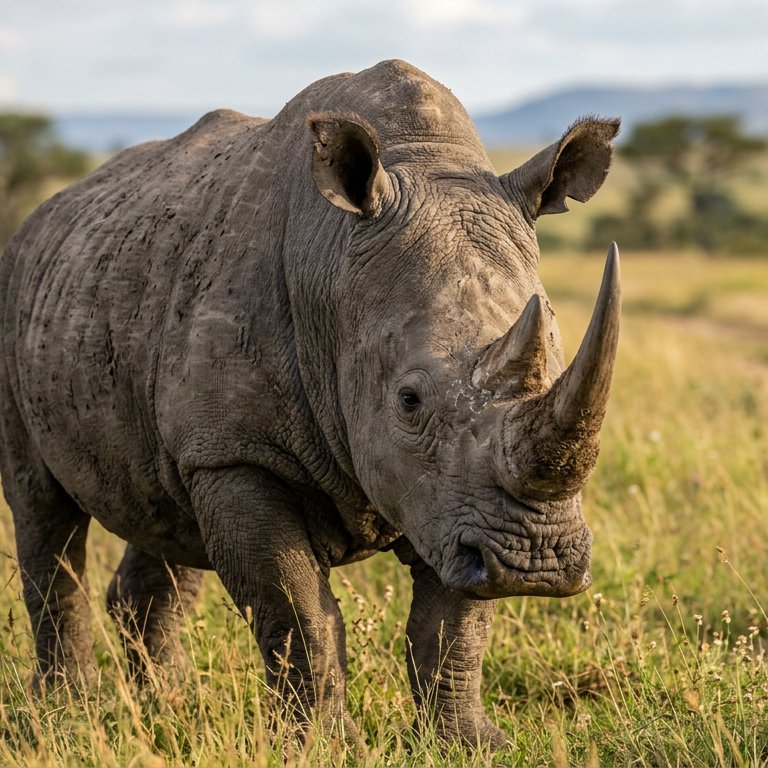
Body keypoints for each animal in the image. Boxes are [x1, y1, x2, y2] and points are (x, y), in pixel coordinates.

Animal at [0, 59, 620, 748]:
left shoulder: (459, 502)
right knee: (44, 512)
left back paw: (169, 708)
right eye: (409, 401)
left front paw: (471, 743)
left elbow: (454, 625)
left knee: (167, 516)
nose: (537, 562)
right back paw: (67, 715)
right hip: (20, 292)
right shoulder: (242, 455)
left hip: (117, 288)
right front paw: (323, 744)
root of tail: (43, 218)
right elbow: (299, 611)